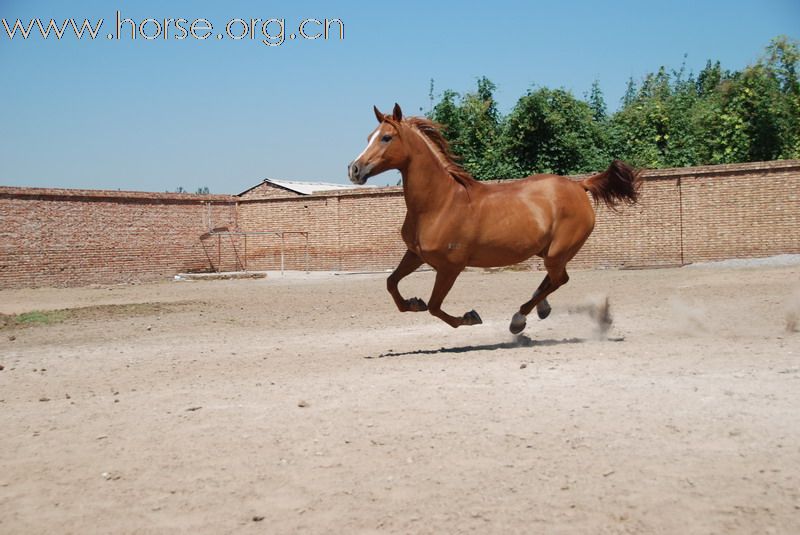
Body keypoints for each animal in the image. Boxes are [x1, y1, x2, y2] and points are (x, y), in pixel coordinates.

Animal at [346, 102, 640, 332]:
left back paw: (519, 319)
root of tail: (580, 185)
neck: (440, 203)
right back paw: (540, 309)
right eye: (369, 136)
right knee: (552, 280)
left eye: (386, 137)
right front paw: (413, 303)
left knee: (559, 279)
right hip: (549, 252)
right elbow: (391, 283)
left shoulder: (450, 267)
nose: (354, 169)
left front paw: (470, 317)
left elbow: (435, 307)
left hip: (558, 251)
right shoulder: (416, 254)